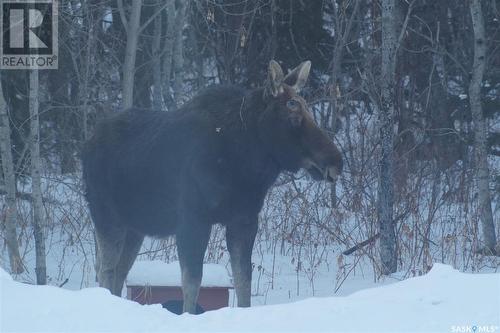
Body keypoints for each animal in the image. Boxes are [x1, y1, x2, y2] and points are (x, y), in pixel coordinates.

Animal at [82, 59, 342, 312]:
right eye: (292, 111)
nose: (336, 161)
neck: (248, 165)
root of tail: (88, 143)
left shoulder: (244, 219)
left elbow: (243, 280)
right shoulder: (193, 219)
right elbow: (192, 282)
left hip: (135, 227)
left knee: (118, 271)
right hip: (106, 215)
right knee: (105, 269)